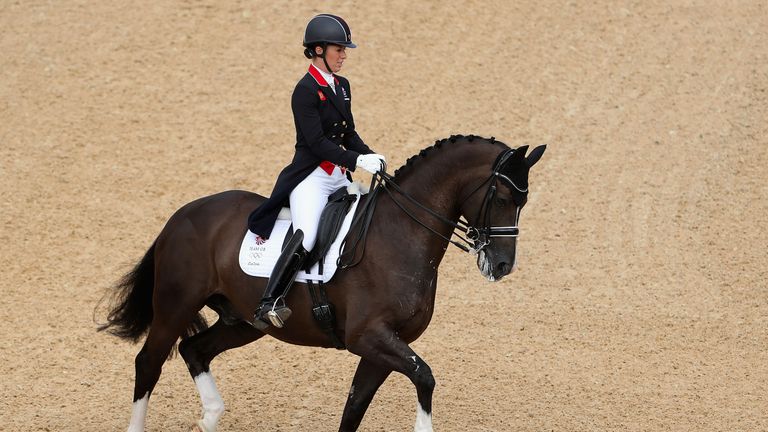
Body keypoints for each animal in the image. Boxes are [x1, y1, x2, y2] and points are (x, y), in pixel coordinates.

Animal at [99, 135, 544, 432]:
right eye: (502, 196)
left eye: (523, 201)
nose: (501, 265)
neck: (399, 234)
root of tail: (182, 215)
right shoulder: (368, 337)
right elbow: (425, 378)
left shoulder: (386, 345)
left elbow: (355, 406)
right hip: (175, 305)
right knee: (149, 362)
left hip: (244, 321)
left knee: (194, 350)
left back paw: (211, 415)